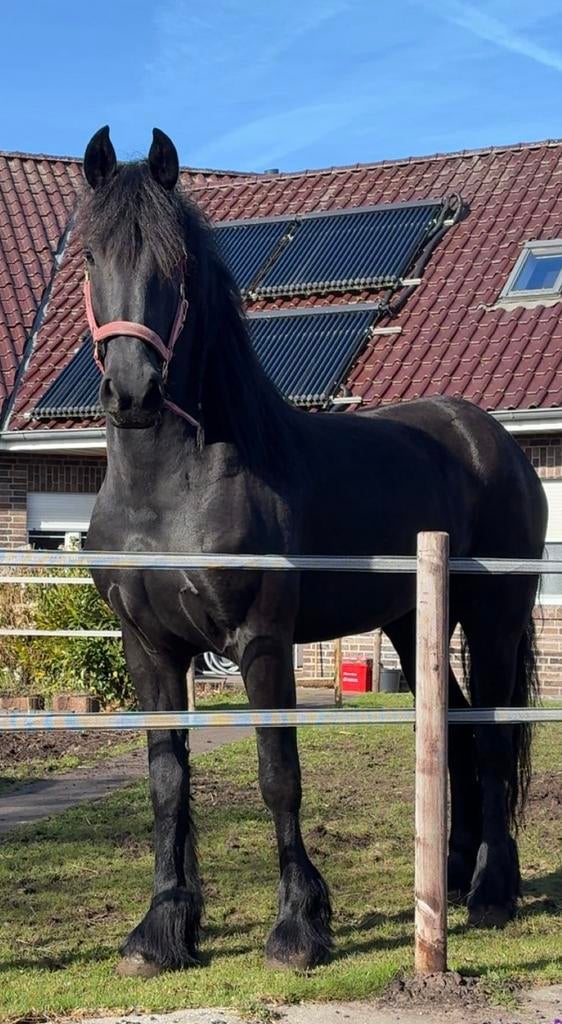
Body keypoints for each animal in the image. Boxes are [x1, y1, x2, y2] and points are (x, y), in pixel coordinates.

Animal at [81, 126, 547, 977]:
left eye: (176, 260)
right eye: (90, 255)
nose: (133, 391)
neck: (171, 488)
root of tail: (491, 437)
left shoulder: (261, 641)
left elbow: (279, 776)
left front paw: (298, 927)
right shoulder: (149, 648)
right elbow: (167, 782)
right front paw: (160, 931)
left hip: (495, 620)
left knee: (495, 737)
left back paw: (493, 892)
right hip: (412, 623)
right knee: (457, 731)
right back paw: (452, 874)